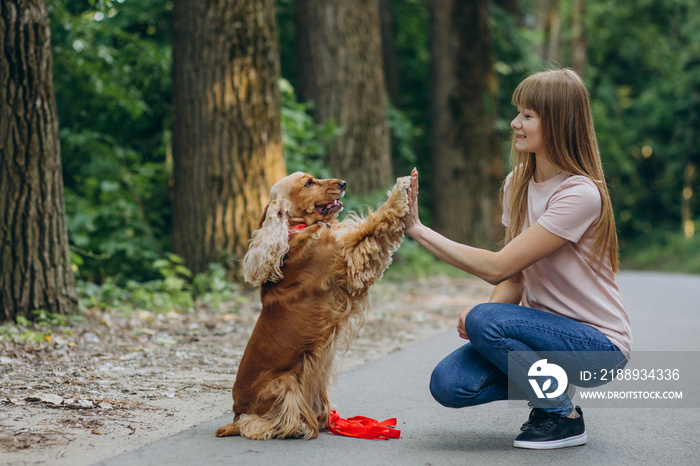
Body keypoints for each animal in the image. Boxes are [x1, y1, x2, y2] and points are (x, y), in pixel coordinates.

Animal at [216, 172, 408, 440]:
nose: (343, 184)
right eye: (308, 182)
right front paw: (402, 190)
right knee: (253, 424)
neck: (298, 229)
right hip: (285, 383)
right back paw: (296, 427)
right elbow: (376, 222)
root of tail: (235, 411)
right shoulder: (348, 256)